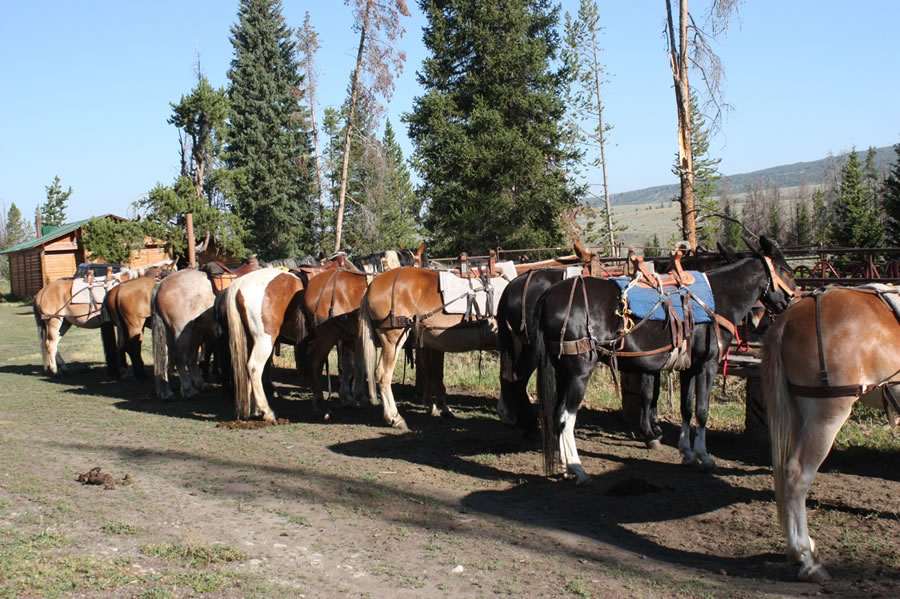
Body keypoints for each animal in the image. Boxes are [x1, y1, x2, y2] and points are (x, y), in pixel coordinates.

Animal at [536, 237, 796, 486]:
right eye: (788, 271)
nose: (789, 304)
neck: (717, 299)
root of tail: (548, 296)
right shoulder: (707, 365)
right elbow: (702, 411)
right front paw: (704, 457)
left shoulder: (688, 367)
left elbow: (686, 408)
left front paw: (687, 453)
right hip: (579, 374)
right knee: (566, 417)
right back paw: (578, 469)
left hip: (563, 372)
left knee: (556, 414)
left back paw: (565, 468)